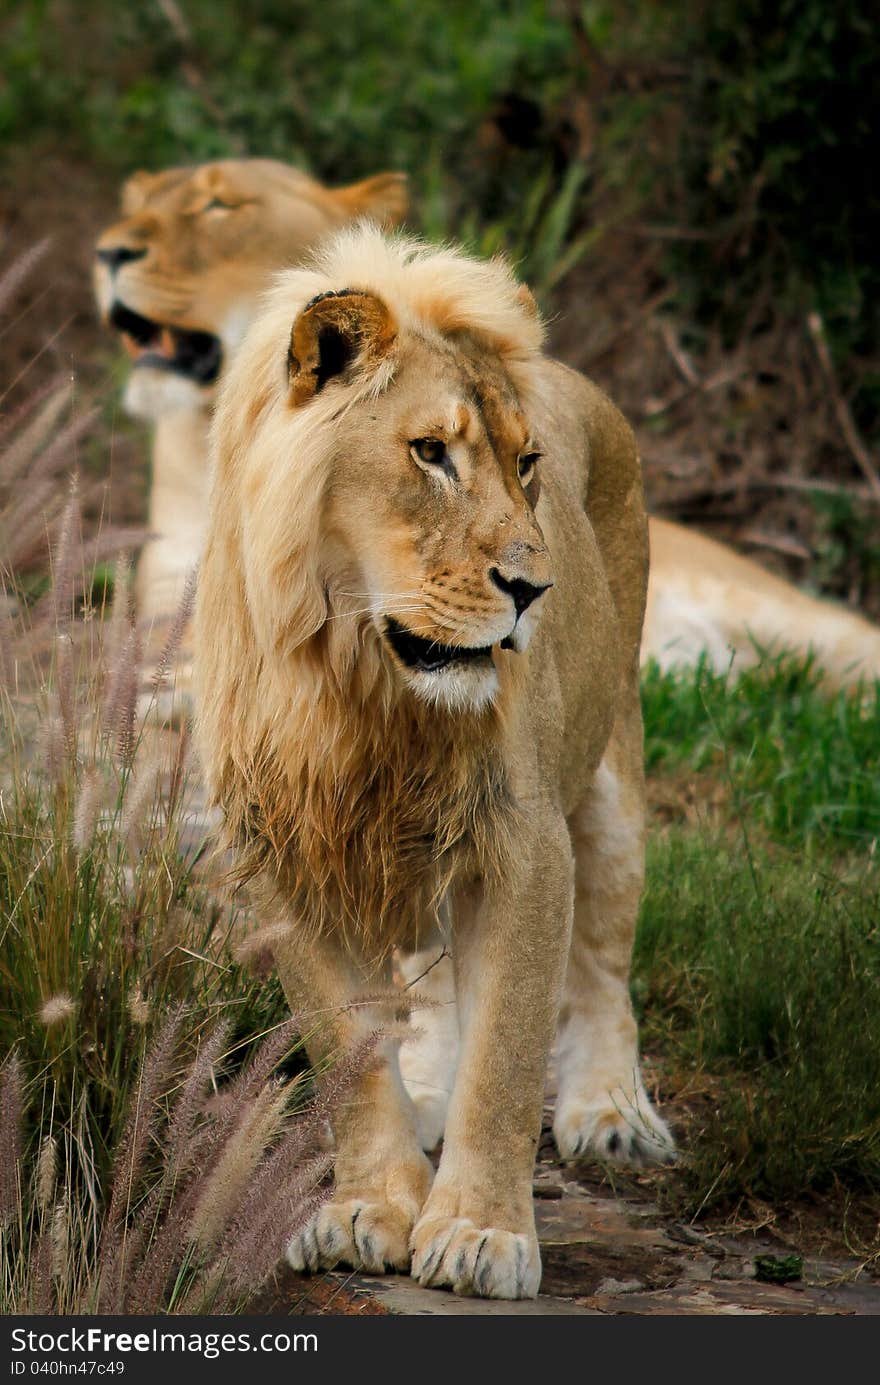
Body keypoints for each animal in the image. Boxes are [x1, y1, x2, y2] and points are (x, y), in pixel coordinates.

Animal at [194, 227, 673, 1296]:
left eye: (527, 464)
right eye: (430, 453)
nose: (535, 589)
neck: (362, 686)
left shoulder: (526, 846)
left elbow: (507, 1052)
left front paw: (481, 1233)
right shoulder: (288, 858)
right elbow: (346, 1051)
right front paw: (371, 1205)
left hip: (612, 783)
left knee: (604, 963)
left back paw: (610, 1111)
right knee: (435, 992)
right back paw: (426, 1100)